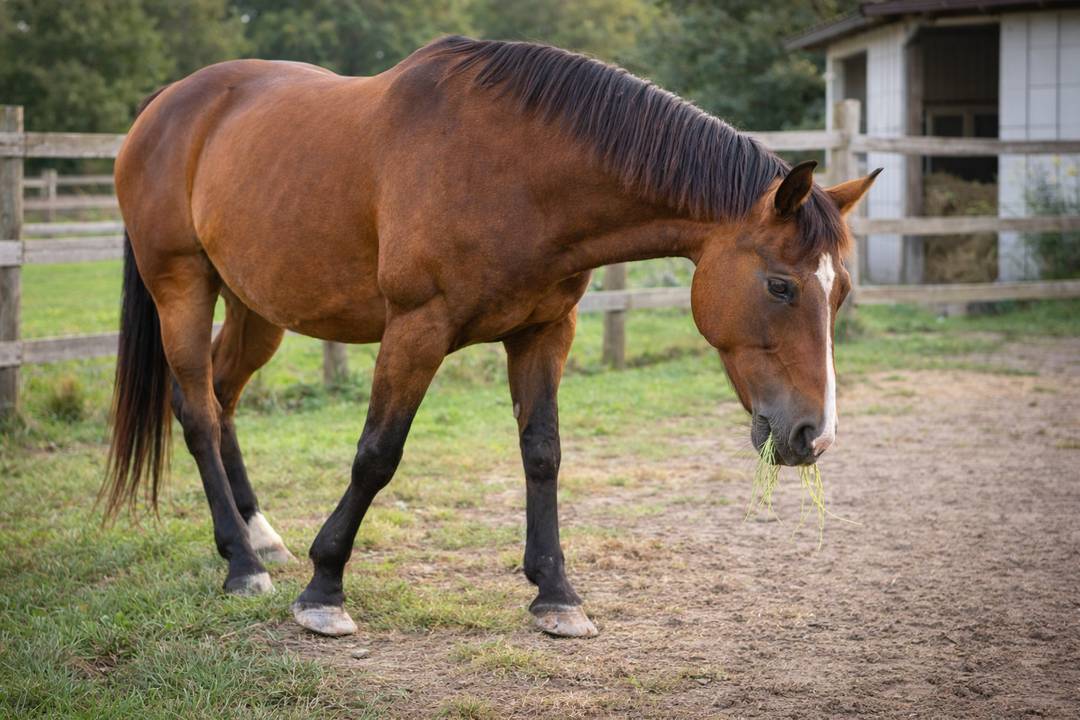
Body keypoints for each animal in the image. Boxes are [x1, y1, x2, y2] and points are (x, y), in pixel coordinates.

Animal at [103, 36, 879, 638]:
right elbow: (377, 456)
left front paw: (556, 596)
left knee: (223, 395)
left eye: (840, 290)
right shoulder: (416, 329)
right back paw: (241, 564)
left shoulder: (544, 332)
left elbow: (543, 454)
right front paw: (325, 591)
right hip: (182, 286)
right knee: (197, 411)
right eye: (780, 286)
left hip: (256, 305)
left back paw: (259, 536)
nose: (813, 435)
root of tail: (167, 106)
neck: (515, 168)